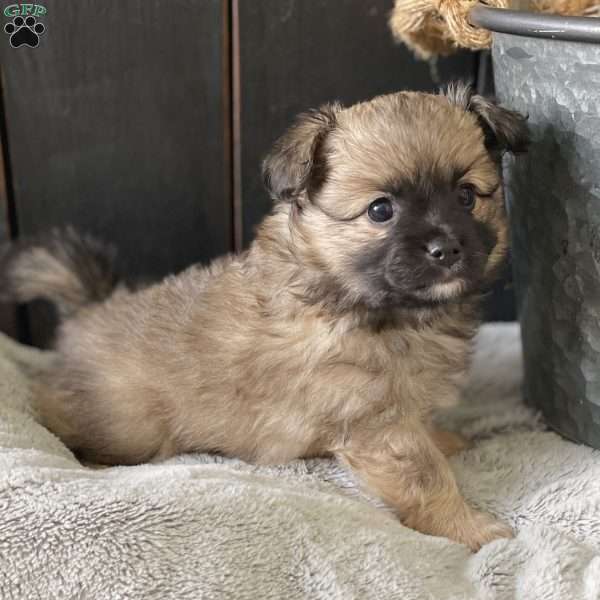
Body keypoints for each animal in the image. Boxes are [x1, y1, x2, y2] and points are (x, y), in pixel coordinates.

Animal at [0, 84, 524, 548]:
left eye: (466, 196)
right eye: (381, 210)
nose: (446, 248)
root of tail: (91, 310)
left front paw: (445, 439)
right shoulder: (376, 424)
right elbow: (427, 480)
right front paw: (471, 528)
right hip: (129, 425)